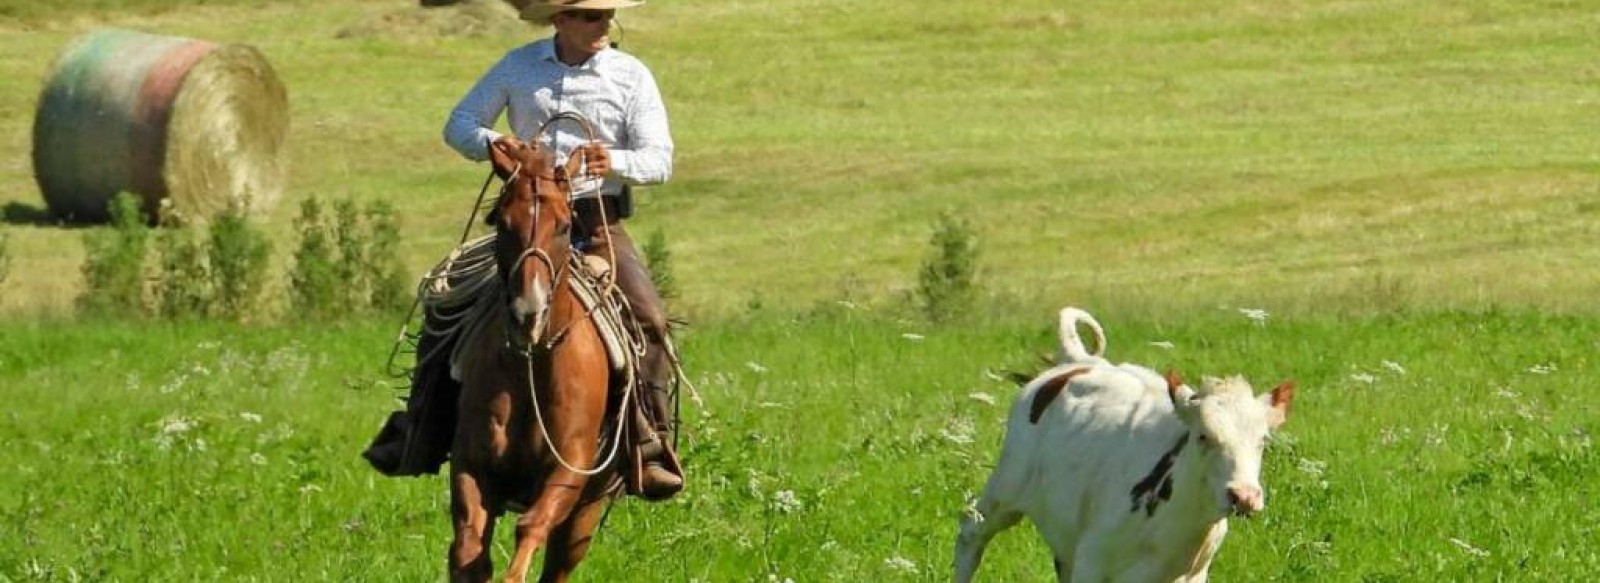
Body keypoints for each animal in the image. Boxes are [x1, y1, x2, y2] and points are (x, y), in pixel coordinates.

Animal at [451, 132, 630, 583]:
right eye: (501, 222)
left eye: (565, 225)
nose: (527, 314)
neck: (529, 369)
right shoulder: (471, 466)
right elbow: (467, 551)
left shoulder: (568, 469)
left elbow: (530, 527)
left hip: (586, 510)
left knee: (559, 562)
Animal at [953, 307, 1292, 579]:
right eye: (1203, 435)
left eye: (1263, 441)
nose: (1244, 496)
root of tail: (1082, 362)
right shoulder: (1091, 562)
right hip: (1007, 485)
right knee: (971, 531)